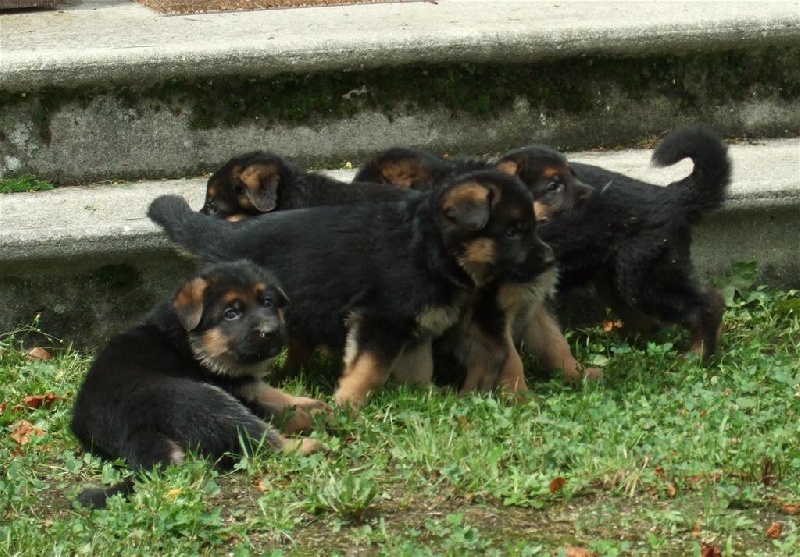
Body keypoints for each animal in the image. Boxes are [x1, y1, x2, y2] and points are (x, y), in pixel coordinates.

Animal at [71, 260, 328, 508]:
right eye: (231, 314)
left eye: (267, 302)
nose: (271, 331)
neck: (192, 344)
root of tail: (130, 432)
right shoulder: (231, 387)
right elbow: (275, 405)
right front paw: (311, 413)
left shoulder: (242, 382)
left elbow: (270, 392)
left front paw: (312, 403)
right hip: (200, 400)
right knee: (258, 439)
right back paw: (306, 444)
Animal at [147, 170, 552, 408]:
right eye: (512, 231)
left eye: (533, 227)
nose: (549, 258)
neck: (430, 247)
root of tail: (222, 236)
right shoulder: (379, 320)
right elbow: (369, 369)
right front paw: (347, 405)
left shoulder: (416, 327)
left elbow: (419, 369)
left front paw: (424, 398)